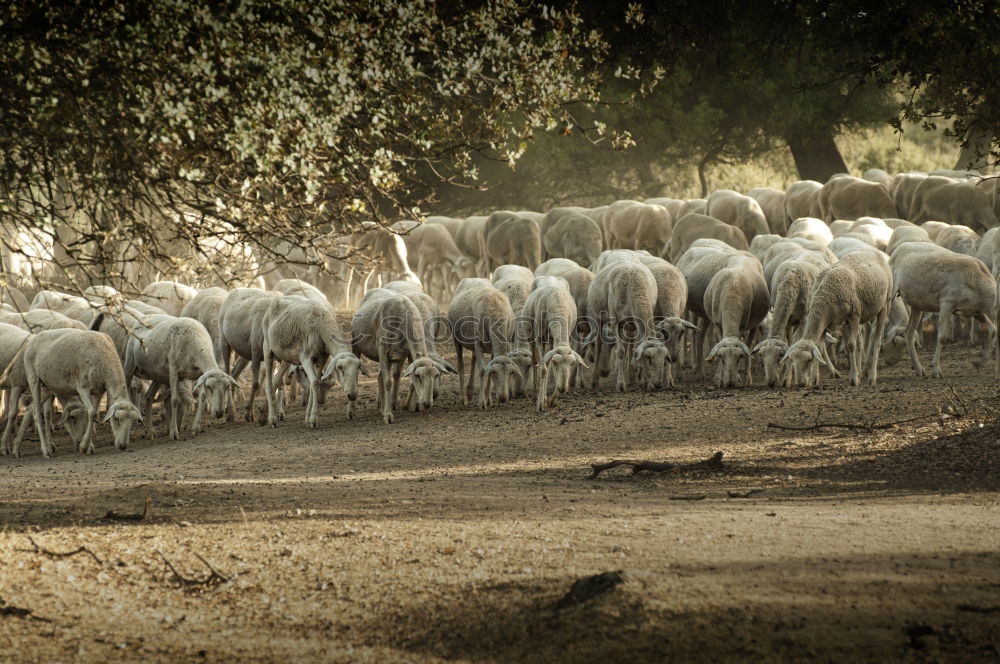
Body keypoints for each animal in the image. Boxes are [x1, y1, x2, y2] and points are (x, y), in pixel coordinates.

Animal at [22, 328, 143, 456]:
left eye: (132, 422)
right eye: (116, 419)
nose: (123, 446)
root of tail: (33, 338)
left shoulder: (99, 391)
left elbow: (94, 414)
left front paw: (89, 446)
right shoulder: (83, 388)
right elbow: (92, 413)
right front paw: (84, 446)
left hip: (47, 386)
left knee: (31, 410)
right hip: (33, 378)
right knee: (36, 414)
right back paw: (45, 451)